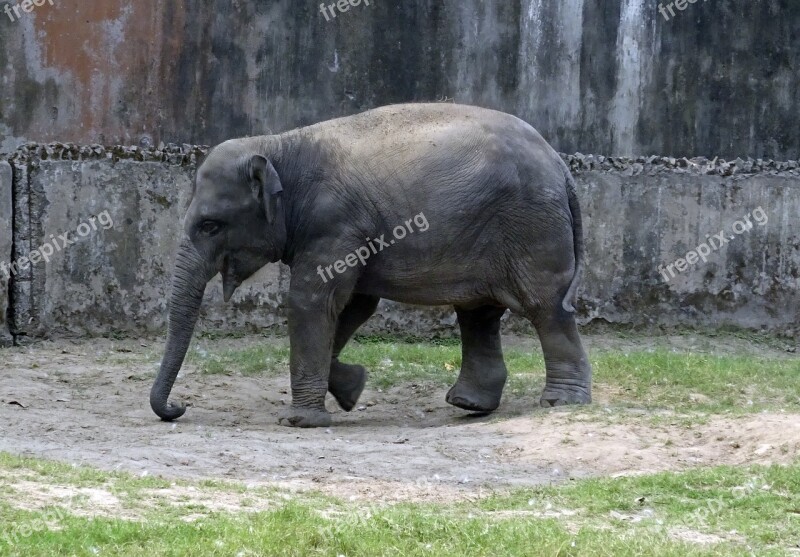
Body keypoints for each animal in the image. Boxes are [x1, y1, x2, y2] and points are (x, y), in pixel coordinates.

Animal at [150, 102, 592, 428]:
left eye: (210, 225)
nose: (180, 407)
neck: (279, 145)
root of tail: (560, 164)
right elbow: (353, 306)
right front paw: (352, 390)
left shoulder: (335, 223)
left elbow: (313, 300)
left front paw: (300, 420)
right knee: (478, 313)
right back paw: (470, 405)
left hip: (532, 225)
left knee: (544, 306)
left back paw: (561, 402)